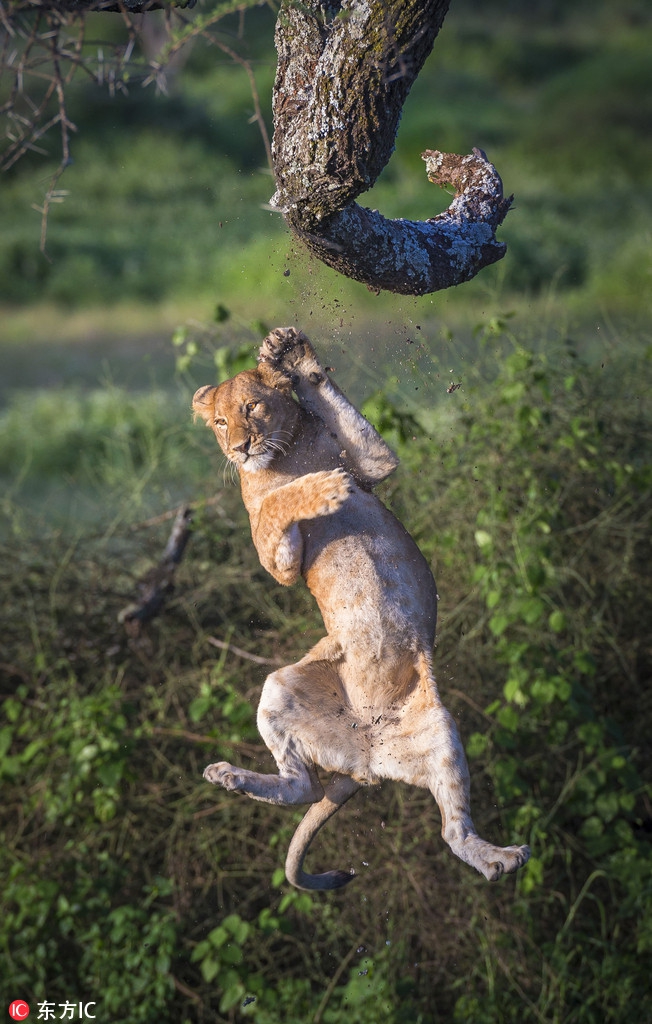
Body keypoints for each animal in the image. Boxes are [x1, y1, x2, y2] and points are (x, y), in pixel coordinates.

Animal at [192, 327, 528, 888]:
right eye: (220, 422)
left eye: (251, 407)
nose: (239, 447)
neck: (286, 456)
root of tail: (362, 760)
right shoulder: (276, 561)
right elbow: (277, 503)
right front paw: (322, 487)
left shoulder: (372, 463)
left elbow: (331, 410)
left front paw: (288, 350)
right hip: (280, 686)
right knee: (302, 786)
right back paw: (229, 775)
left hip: (440, 731)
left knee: (448, 831)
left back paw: (499, 857)